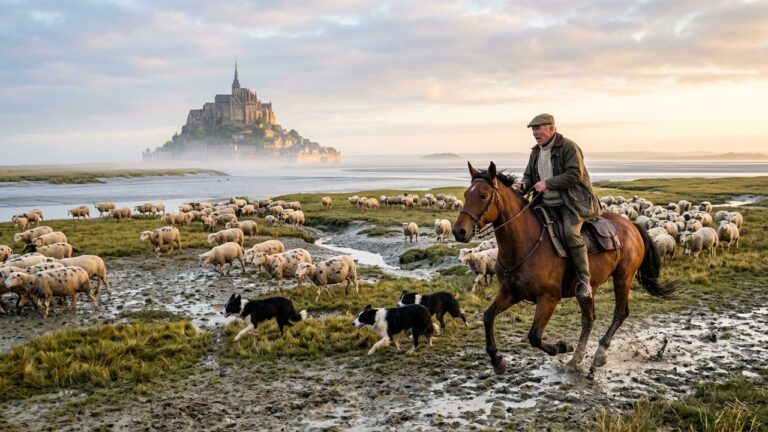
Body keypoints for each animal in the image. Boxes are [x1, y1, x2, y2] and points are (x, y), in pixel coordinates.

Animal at [453, 161, 678, 376]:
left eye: (483, 195)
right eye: (466, 194)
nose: (459, 231)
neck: (525, 243)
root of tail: (632, 226)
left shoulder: (549, 298)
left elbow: (534, 336)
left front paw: (562, 347)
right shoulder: (510, 292)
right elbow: (488, 317)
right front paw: (497, 360)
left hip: (623, 277)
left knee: (620, 313)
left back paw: (599, 354)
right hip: (589, 288)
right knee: (589, 319)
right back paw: (577, 359)